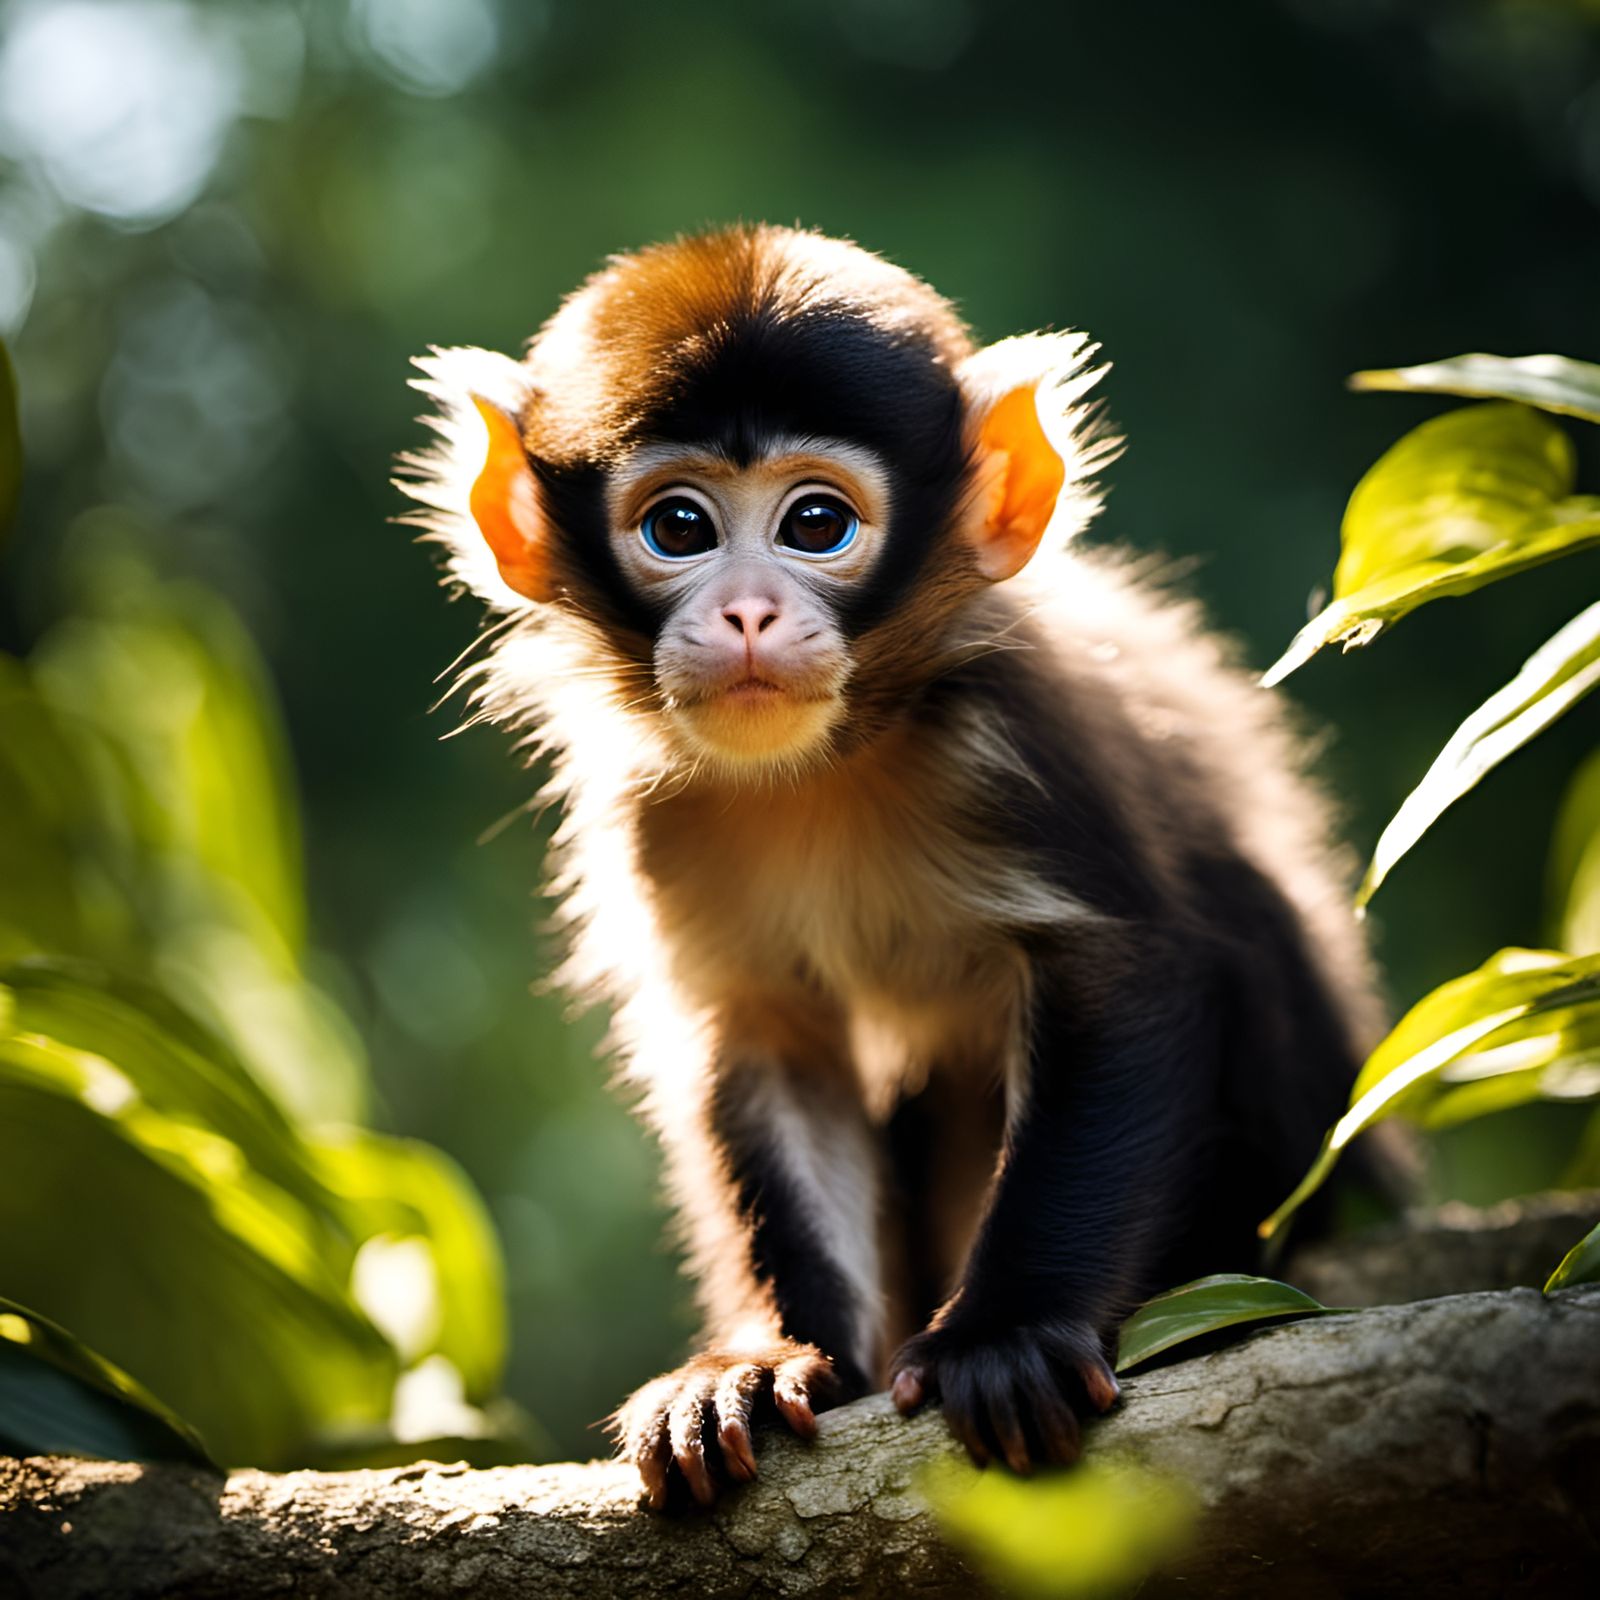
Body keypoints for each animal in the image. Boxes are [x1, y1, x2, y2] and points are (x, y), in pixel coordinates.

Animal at [400, 224, 1393, 1510]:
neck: (823, 768)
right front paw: (763, 1362)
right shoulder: (655, 816)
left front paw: (1008, 1332)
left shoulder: (1015, 738)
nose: (749, 613)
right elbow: (771, 1046)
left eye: (817, 522)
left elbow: (1123, 980)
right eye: (679, 529)